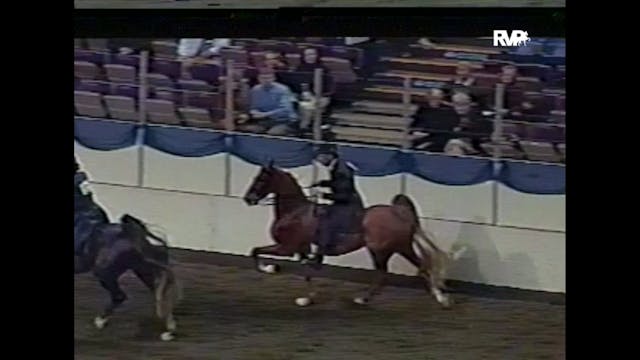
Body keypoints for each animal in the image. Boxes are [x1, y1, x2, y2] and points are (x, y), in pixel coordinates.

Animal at [242, 162, 462, 306]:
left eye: (262, 178)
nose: (248, 198)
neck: (295, 212)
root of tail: (398, 212)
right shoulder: (302, 250)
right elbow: (306, 272)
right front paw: (307, 297)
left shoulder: (287, 248)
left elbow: (256, 251)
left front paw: (269, 268)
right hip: (401, 247)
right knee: (419, 266)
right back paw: (439, 296)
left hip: (383, 250)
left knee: (388, 272)